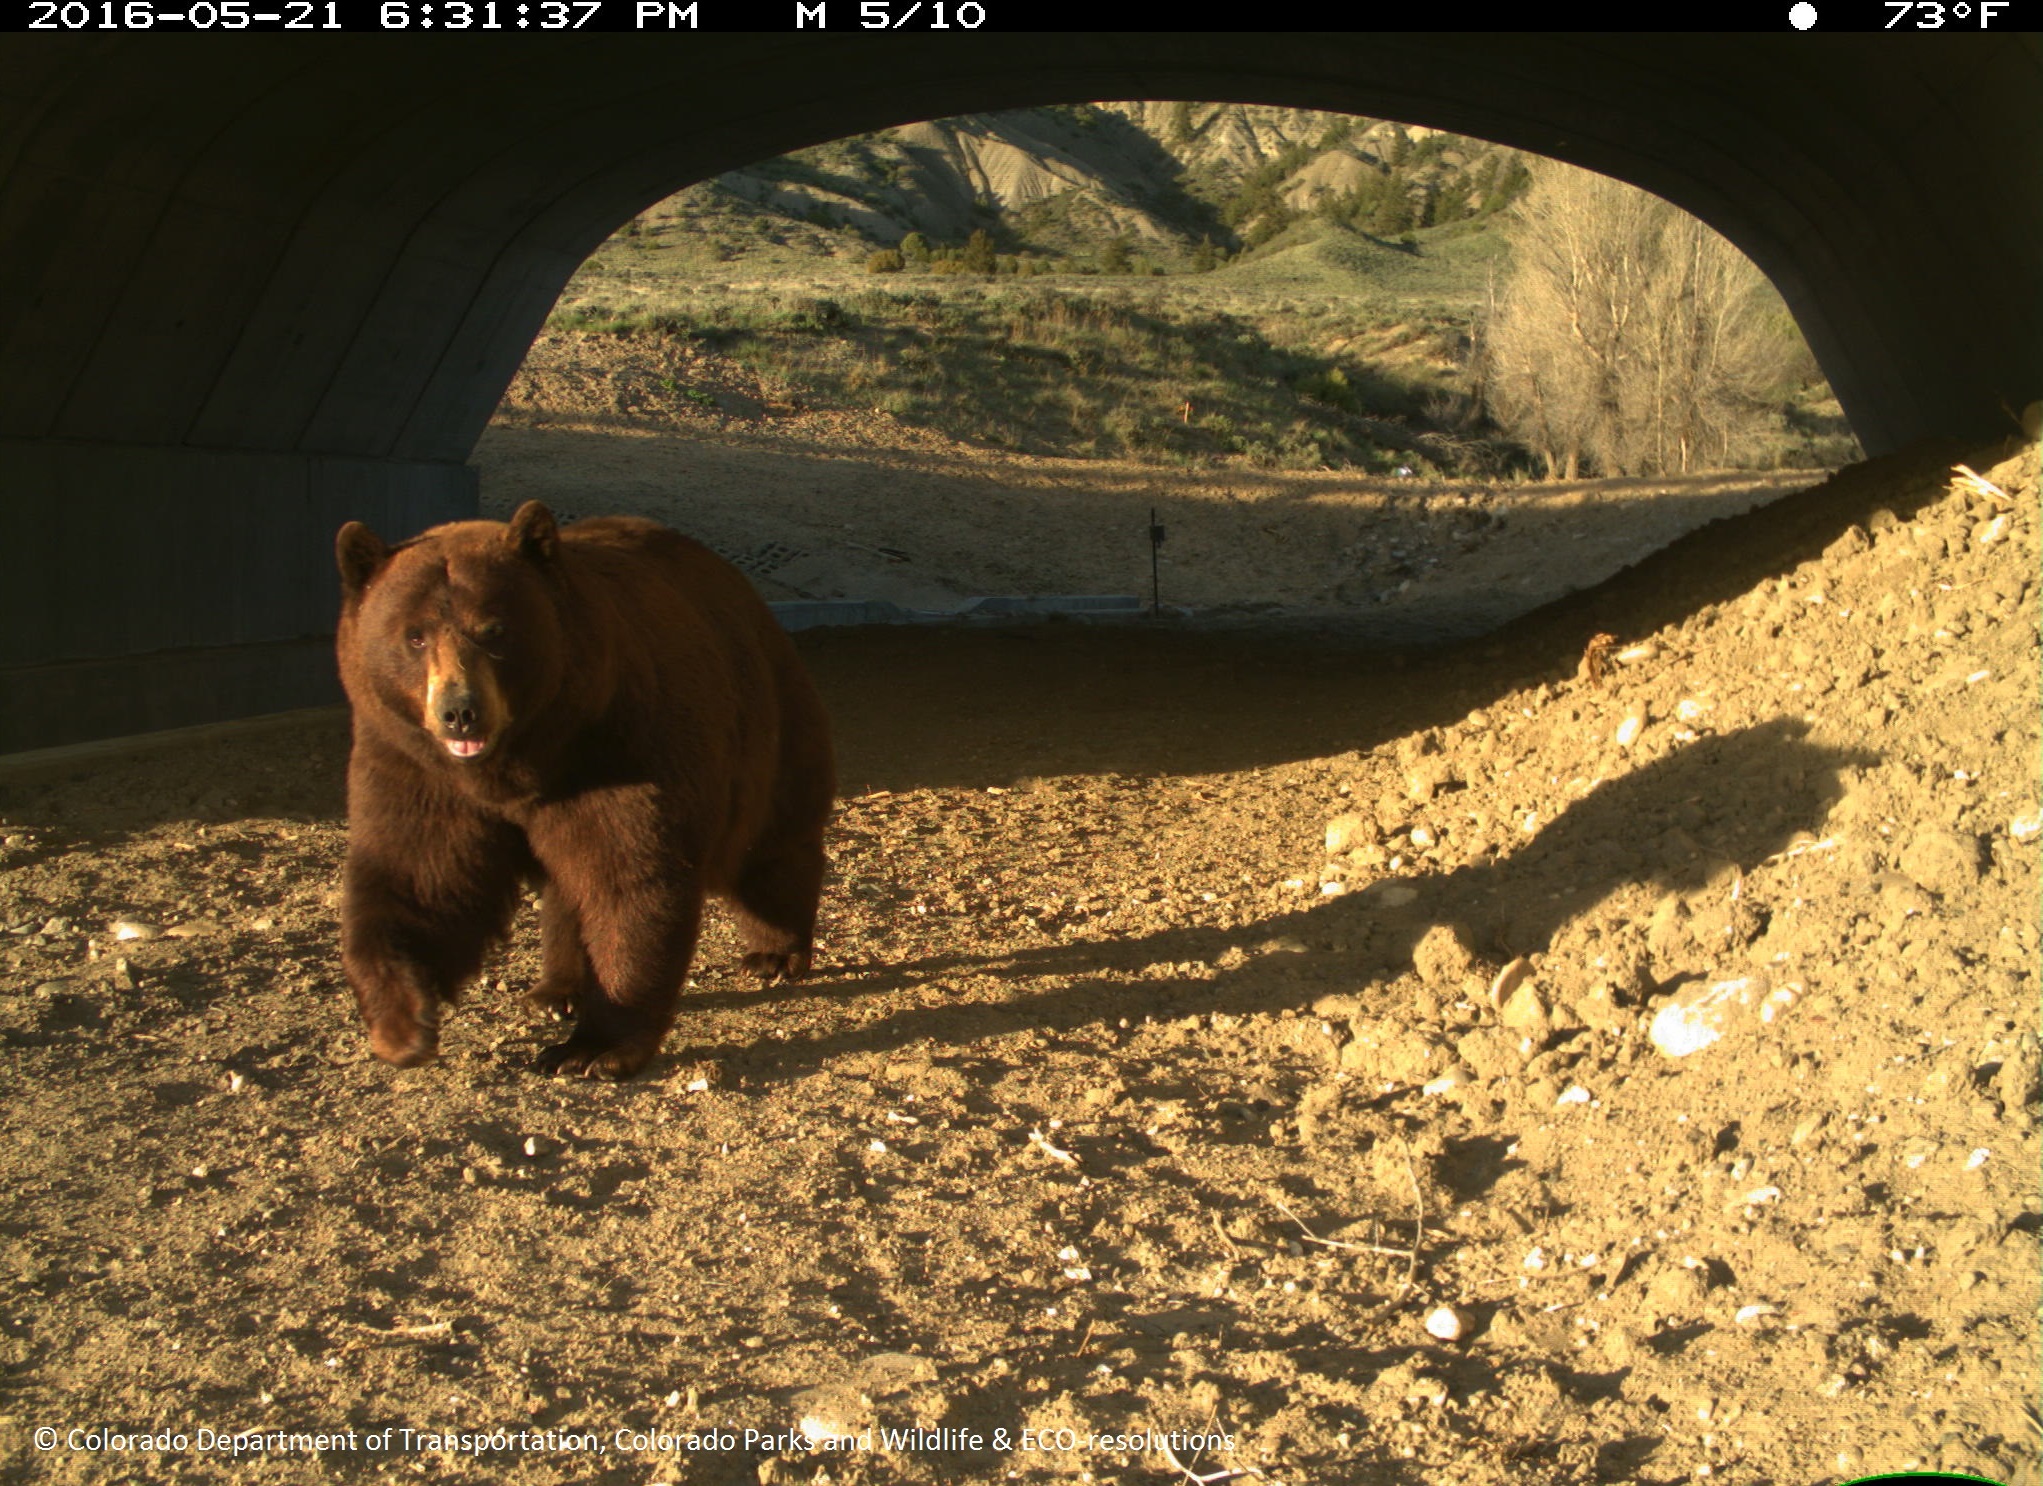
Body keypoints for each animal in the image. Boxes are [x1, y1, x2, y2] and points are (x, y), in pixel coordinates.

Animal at [333, 500, 835, 1079]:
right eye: (414, 636)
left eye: (494, 630)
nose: (460, 711)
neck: (518, 764)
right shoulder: (413, 765)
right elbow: (419, 877)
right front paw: (402, 1026)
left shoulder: (616, 746)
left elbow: (628, 880)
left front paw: (590, 1048)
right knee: (567, 890)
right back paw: (556, 989)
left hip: (766, 721)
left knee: (771, 845)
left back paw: (775, 951)